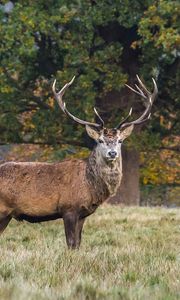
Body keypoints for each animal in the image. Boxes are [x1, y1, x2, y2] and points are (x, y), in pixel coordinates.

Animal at [0, 75, 158, 248]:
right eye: (100, 140)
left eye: (120, 141)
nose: (112, 153)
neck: (89, 185)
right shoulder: (69, 208)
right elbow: (70, 243)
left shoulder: (83, 214)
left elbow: (78, 243)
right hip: (2, 211)